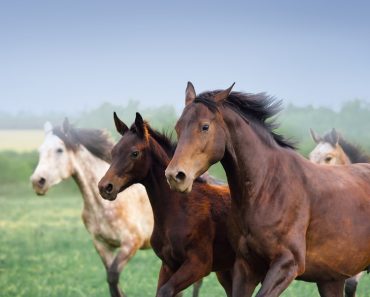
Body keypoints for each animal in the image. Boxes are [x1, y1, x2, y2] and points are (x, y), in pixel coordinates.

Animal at [29, 119, 154, 296]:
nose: (37, 181)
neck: (105, 204)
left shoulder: (131, 243)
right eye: (40, 150)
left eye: (59, 150)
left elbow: (113, 276)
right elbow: (112, 281)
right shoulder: (102, 245)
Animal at [98, 111, 236, 296]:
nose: (105, 187)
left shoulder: (199, 264)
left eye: (134, 153)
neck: (179, 208)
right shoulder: (168, 265)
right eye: (113, 151)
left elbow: (166, 291)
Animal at [166, 81, 370, 296]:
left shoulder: (287, 264)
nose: (175, 176)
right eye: (178, 127)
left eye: (205, 126)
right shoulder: (246, 265)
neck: (266, 188)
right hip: (331, 279)